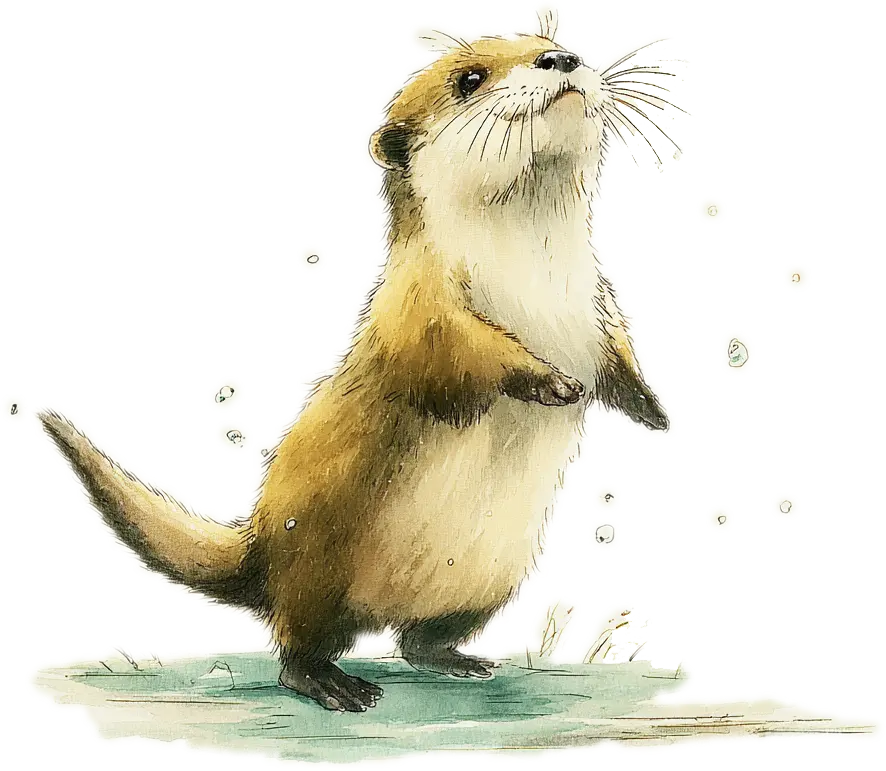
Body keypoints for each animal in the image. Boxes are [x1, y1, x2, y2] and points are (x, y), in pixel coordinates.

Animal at [33, 25, 673, 713]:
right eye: (470, 79)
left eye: (547, 41)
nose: (563, 58)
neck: (538, 286)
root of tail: (262, 547)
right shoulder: (421, 310)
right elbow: (464, 357)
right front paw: (554, 382)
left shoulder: (598, 303)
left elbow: (620, 356)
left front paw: (651, 408)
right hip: (323, 561)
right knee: (297, 641)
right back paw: (335, 684)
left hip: (491, 575)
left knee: (417, 639)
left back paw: (460, 659)